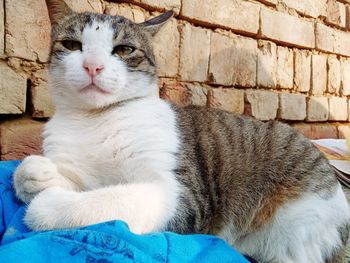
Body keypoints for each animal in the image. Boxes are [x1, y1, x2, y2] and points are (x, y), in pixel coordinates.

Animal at [12, 1, 348, 262]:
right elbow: (32, 175)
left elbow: (104, 200)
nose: (93, 66)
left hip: (298, 222)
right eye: (72, 45)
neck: (95, 119)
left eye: (123, 50)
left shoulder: (179, 195)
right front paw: (40, 175)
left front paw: (46, 205)